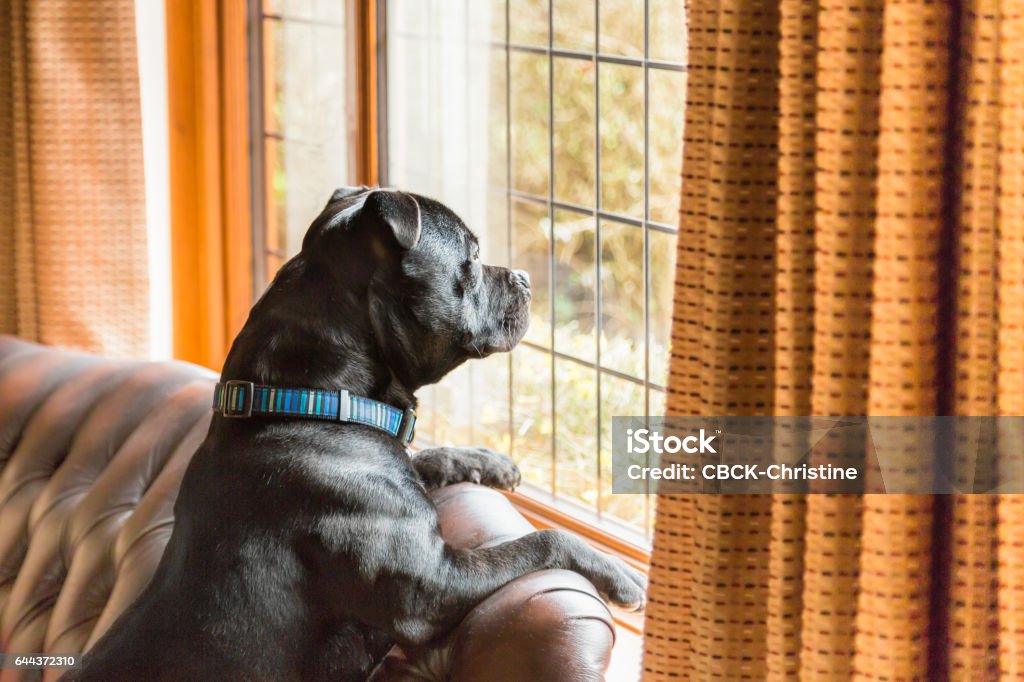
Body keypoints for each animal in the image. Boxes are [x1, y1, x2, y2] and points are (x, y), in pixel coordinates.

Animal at [70, 187, 647, 679]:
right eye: (473, 257)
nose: (526, 277)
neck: (308, 403)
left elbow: (428, 457)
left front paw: (488, 461)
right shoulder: (431, 586)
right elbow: (540, 541)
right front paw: (620, 572)